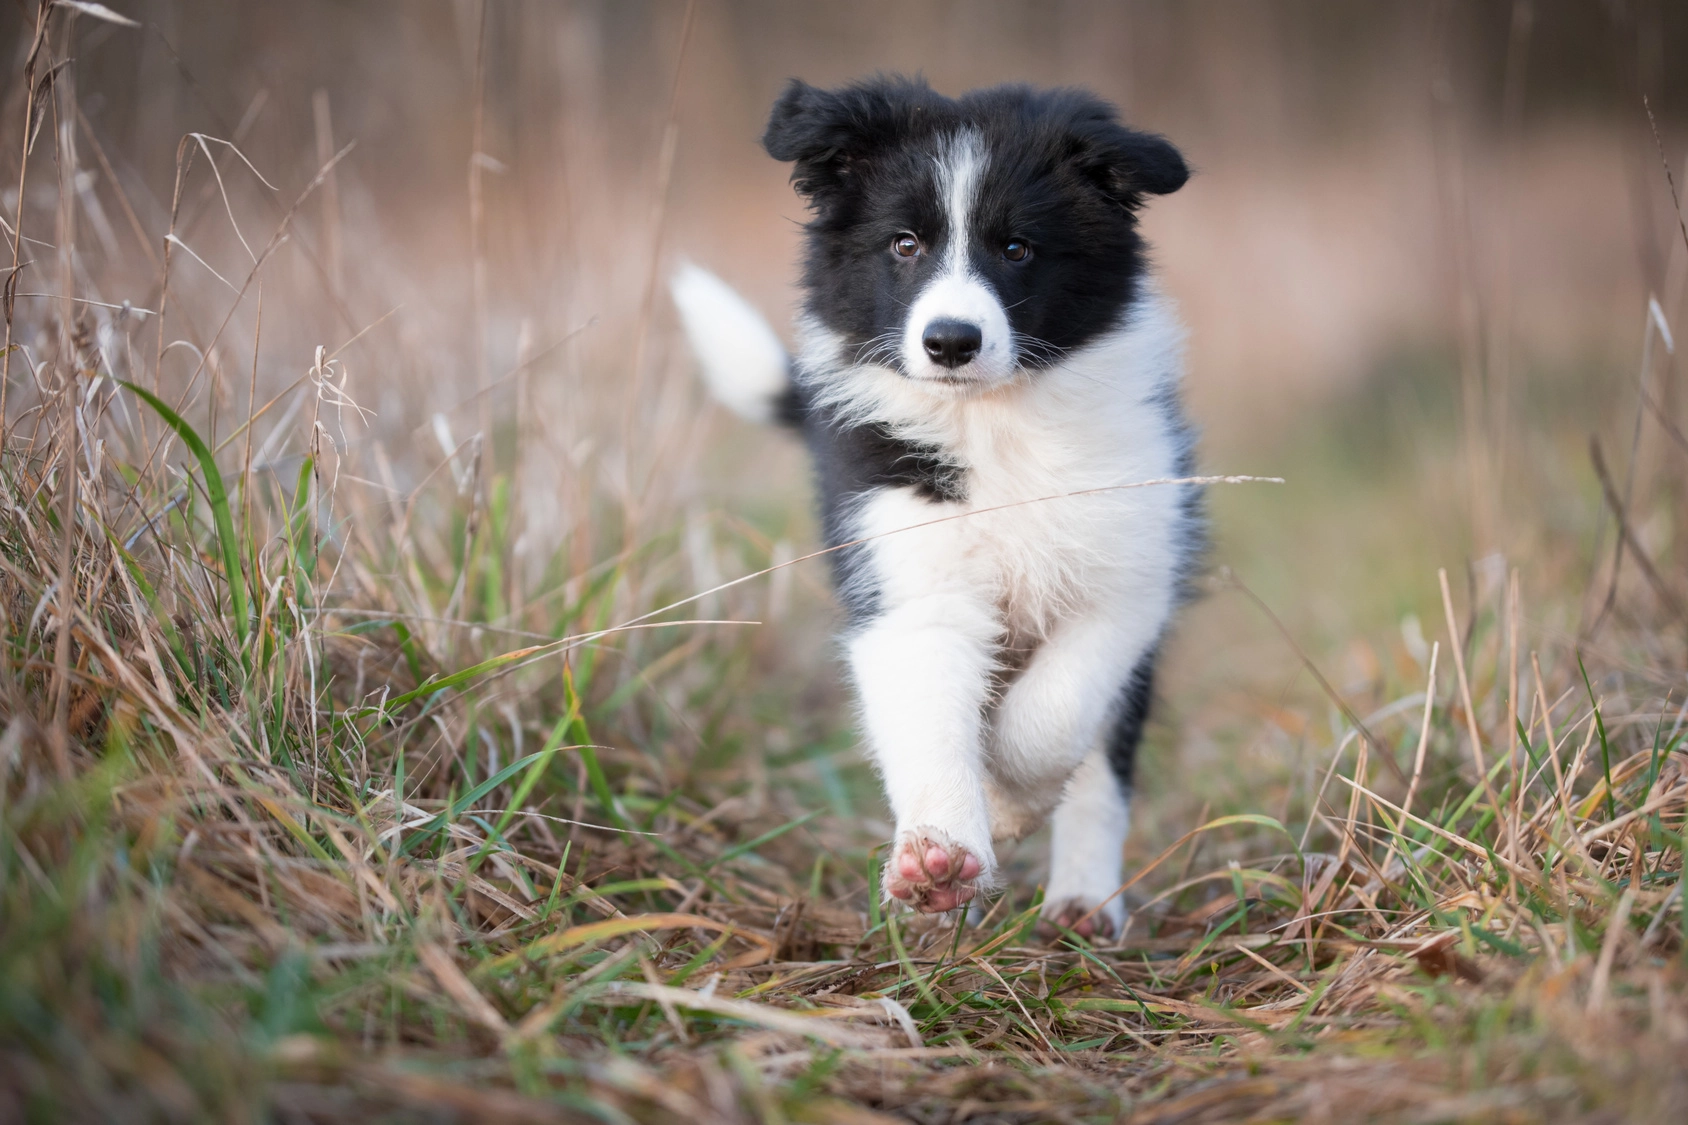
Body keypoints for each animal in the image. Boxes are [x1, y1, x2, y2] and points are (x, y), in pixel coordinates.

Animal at [668, 76, 1201, 939]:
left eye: (1017, 249)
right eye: (904, 245)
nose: (951, 341)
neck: (993, 425)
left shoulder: (1128, 578)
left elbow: (1056, 712)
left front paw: (1008, 799)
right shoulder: (910, 581)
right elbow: (929, 715)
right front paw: (941, 857)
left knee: (1100, 768)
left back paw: (1084, 905)